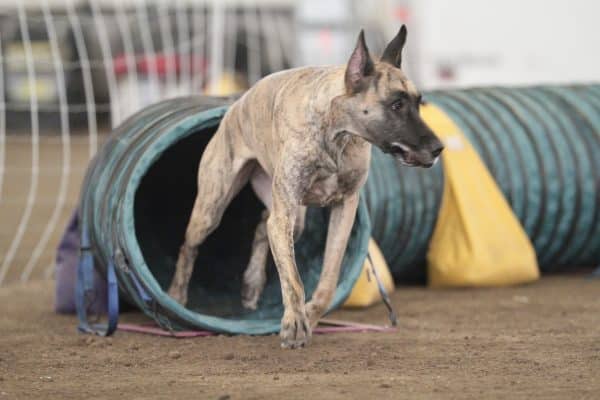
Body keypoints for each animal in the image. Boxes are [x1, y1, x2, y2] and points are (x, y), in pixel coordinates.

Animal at [166, 26, 442, 348]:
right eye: (396, 105)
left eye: (418, 102)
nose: (438, 148)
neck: (336, 133)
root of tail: (236, 104)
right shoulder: (286, 211)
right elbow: (293, 279)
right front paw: (295, 323)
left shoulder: (344, 209)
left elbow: (328, 280)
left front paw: (309, 314)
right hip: (214, 206)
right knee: (190, 245)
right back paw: (176, 295)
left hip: (292, 216)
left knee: (262, 226)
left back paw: (251, 284)